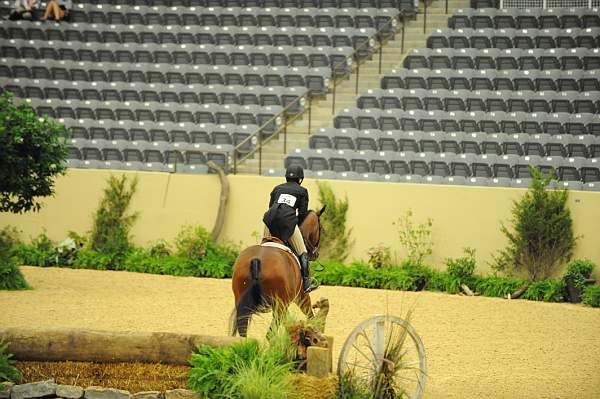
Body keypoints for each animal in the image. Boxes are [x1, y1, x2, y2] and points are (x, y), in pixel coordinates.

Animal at [231, 208, 328, 340]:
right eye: (320, 228)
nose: (316, 254)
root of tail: (257, 260)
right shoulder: (302, 296)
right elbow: (310, 316)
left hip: (243, 301)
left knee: (243, 332)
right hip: (279, 306)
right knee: (270, 334)